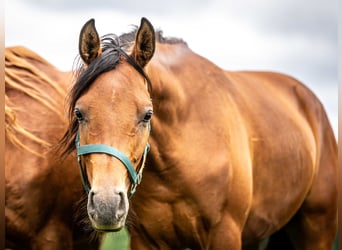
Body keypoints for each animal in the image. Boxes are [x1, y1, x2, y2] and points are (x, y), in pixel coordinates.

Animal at [58, 16, 336, 249]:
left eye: (147, 114)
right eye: (79, 113)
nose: (106, 205)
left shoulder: (225, 234)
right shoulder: (145, 239)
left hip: (316, 227)